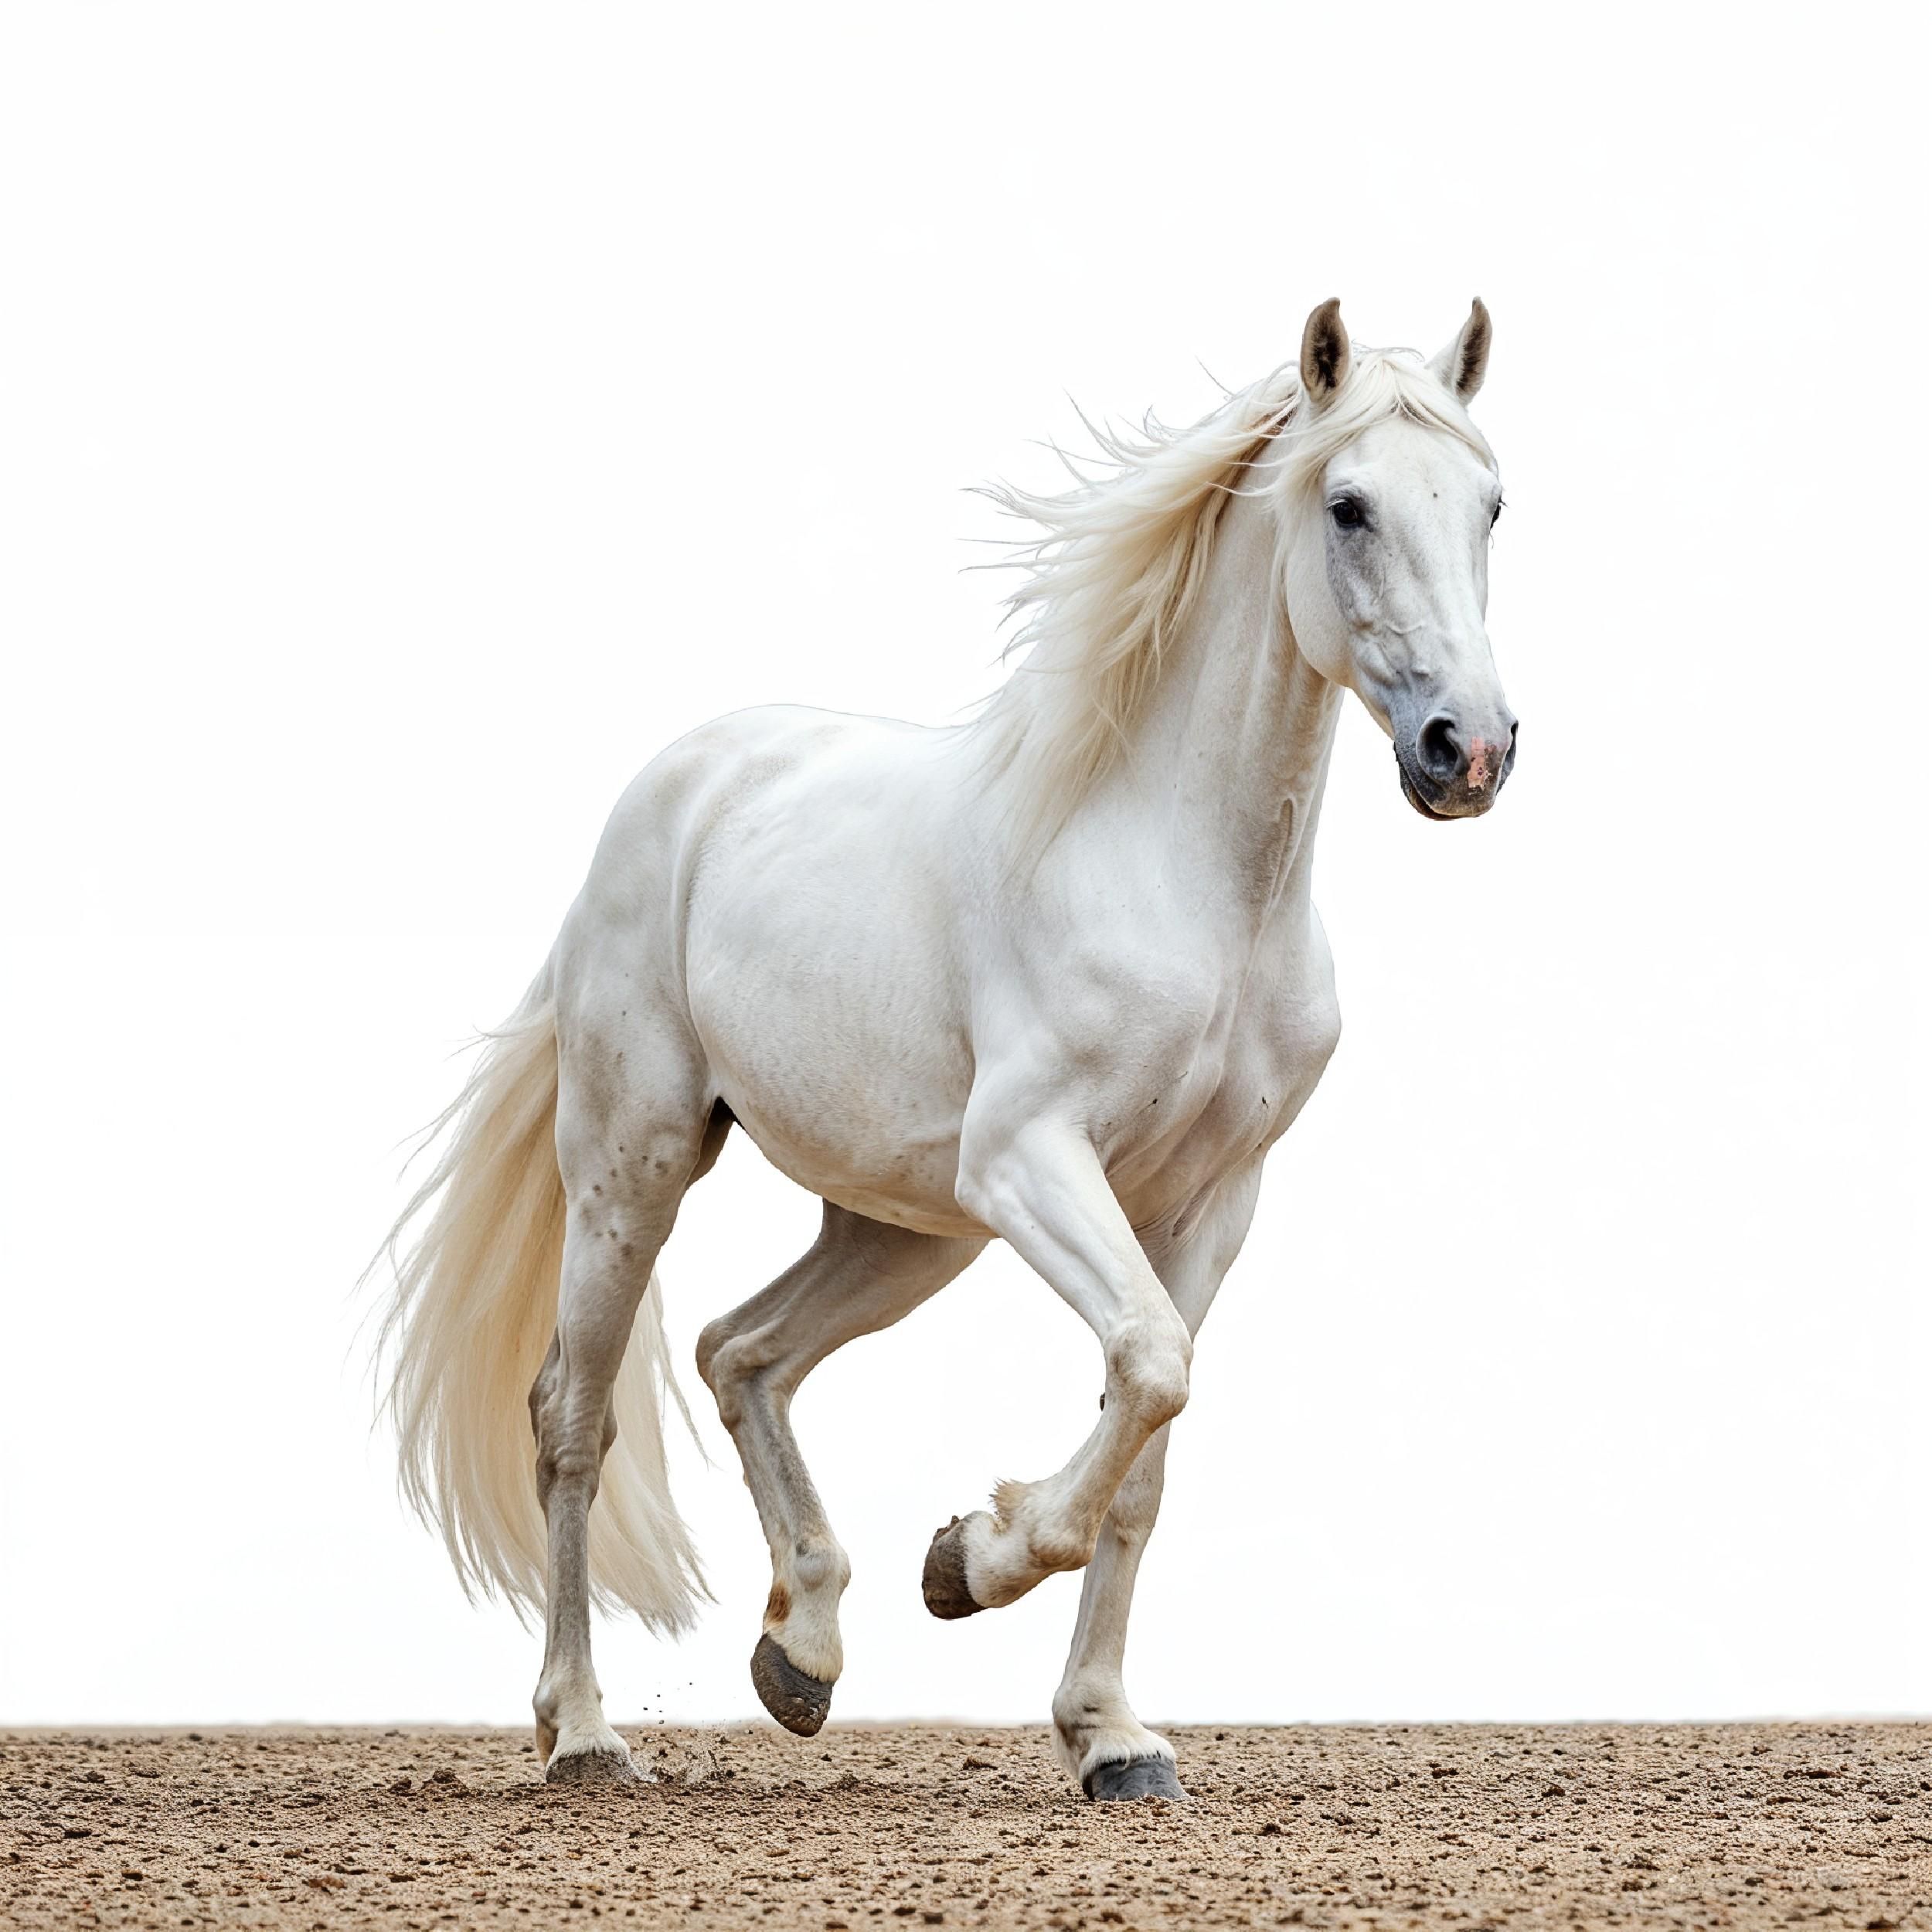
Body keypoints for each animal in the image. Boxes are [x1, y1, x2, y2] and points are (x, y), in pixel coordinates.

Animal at [378, 297, 1517, 1800]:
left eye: (1492, 504)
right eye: (1349, 505)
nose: (1471, 751)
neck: (1189, 885)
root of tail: (679, 785)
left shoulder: (1212, 1202)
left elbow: (1150, 1441)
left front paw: (1113, 1739)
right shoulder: (1031, 1158)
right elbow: (1151, 1369)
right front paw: (972, 1561)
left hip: (910, 1228)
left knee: (743, 1352)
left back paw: (800, 1654)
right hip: (639, 1168)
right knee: (573, 1414)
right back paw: (583, 1732)